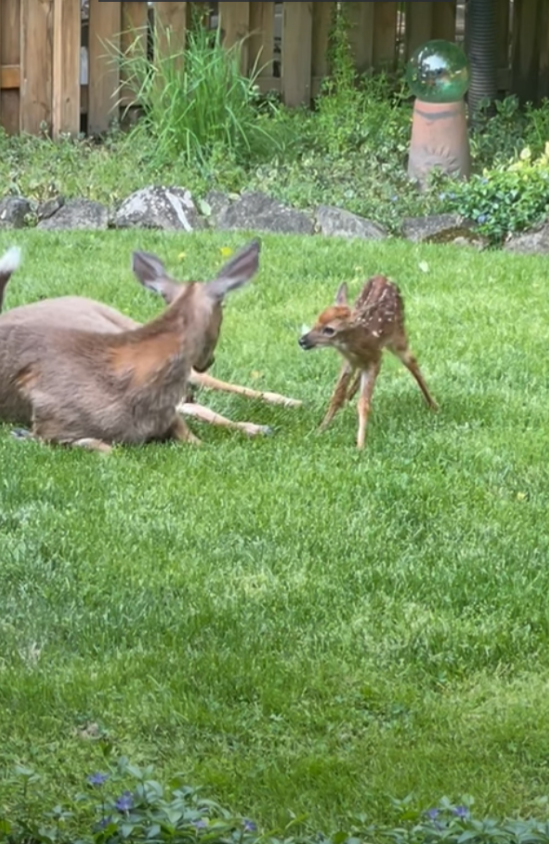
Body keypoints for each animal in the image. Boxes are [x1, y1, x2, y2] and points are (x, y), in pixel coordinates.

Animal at [298, 276, 438, 448]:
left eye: (329, 330)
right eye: (316, 321)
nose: (302, 341)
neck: (360, 343)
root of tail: (383, 276)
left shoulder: (375, 359)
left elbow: (364, 404)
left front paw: (360, 445)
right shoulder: (349, 362)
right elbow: (336, 396)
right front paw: (320, 430)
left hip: (399, 337)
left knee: (413, 363)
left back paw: (434, 405)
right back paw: (348, 398)